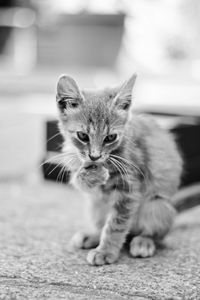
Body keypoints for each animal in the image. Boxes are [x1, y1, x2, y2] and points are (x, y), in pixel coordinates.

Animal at [55, 74, 183, 266]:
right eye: (83, 136)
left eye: (110, 137)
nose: (94, 156)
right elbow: (80, 181)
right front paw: (90, 175)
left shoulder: (129, 189)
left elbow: (116, 224)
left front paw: (105, 251)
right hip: (95, 205)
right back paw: (92, 236)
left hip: (157, 204)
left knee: (152, 233)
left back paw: (144, 241)